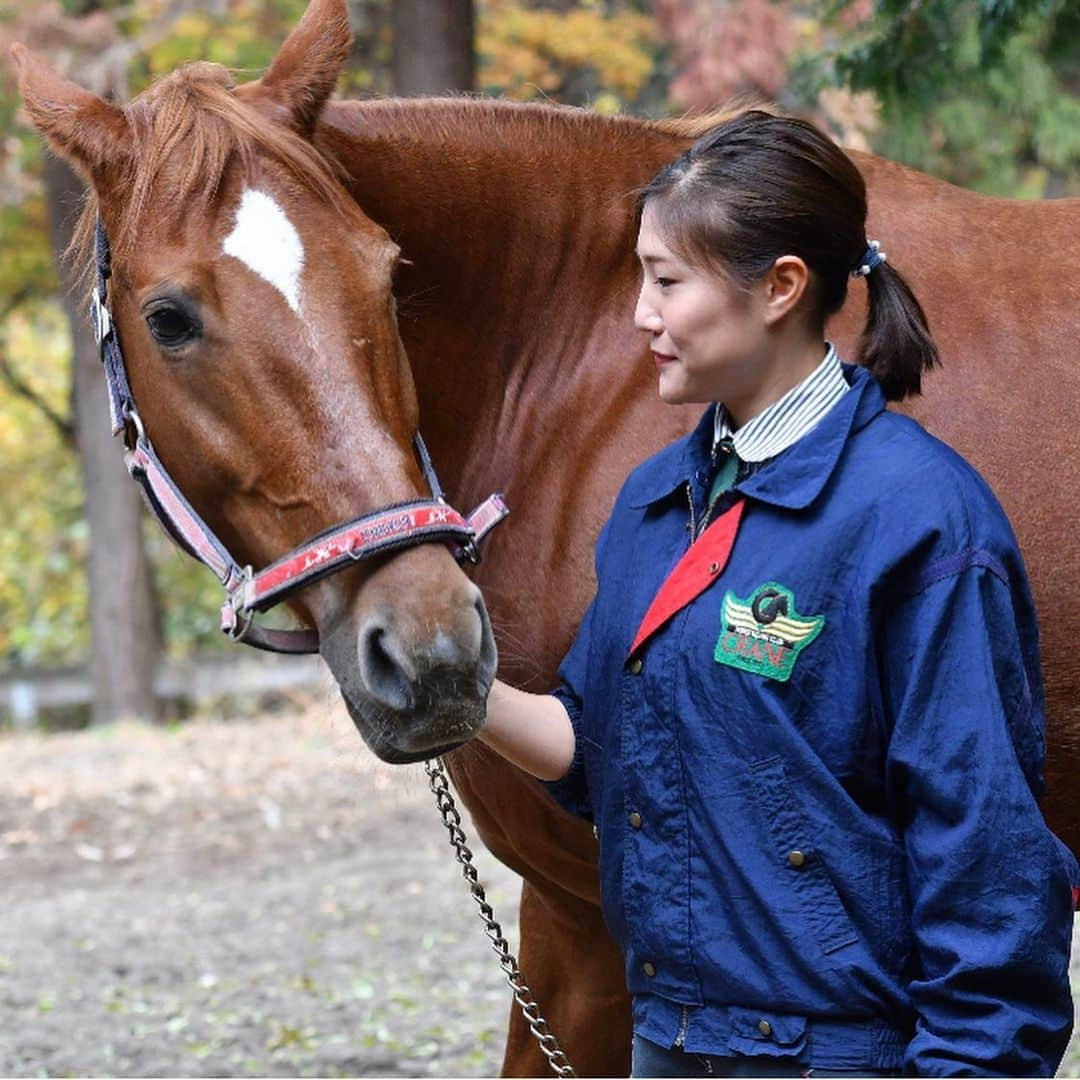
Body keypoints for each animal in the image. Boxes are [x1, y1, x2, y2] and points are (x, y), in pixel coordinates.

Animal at [12, 4, 1075, 1075]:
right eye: (168, 319)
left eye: (386, 277)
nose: (434, 650)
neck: (577, 364)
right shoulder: (566, 912)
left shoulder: (599, 919)